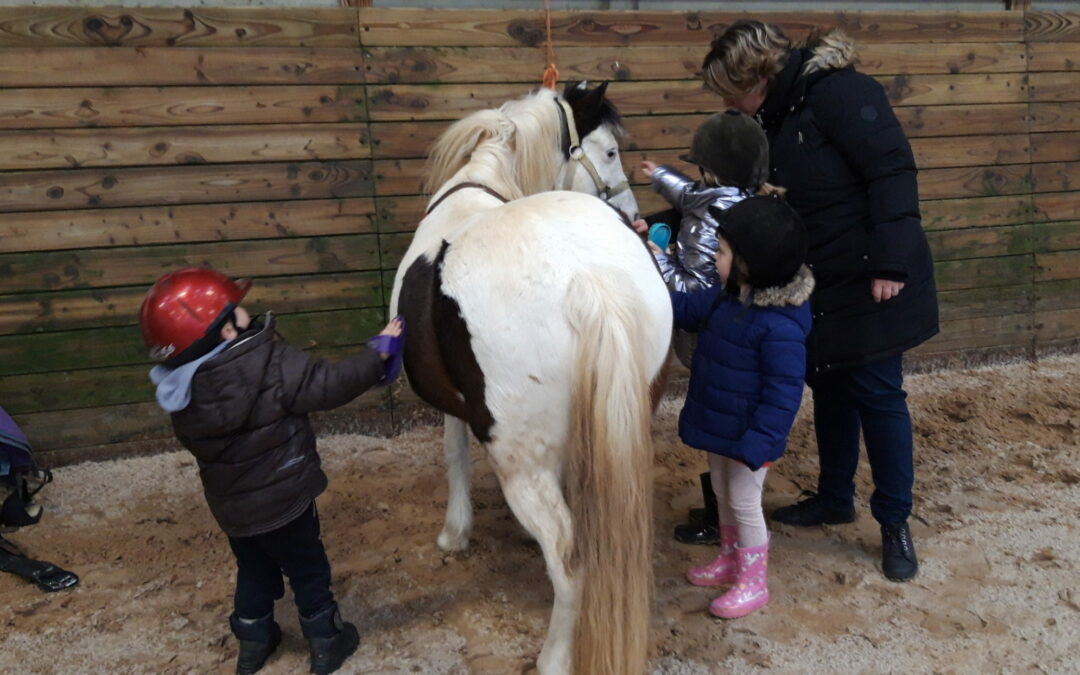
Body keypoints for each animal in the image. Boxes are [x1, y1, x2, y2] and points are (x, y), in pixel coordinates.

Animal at [388, 84, 673, 673]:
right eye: (610, 150)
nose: (634, 214)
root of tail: (587, 281)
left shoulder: (456, 409)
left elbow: (453, 456)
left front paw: (455, 533)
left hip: (518, 462)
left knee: (571, 561)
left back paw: (554, 657)